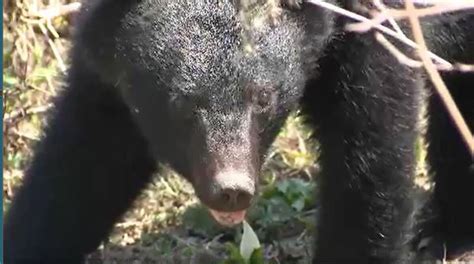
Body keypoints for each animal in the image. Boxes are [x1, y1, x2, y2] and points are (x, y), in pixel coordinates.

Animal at [4, 0, 474, 262]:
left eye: (262, 98)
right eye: (183, 102)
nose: (230, 189)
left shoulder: (372, 29)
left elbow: (371, 160)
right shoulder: (108, 65)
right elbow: (82, 166)